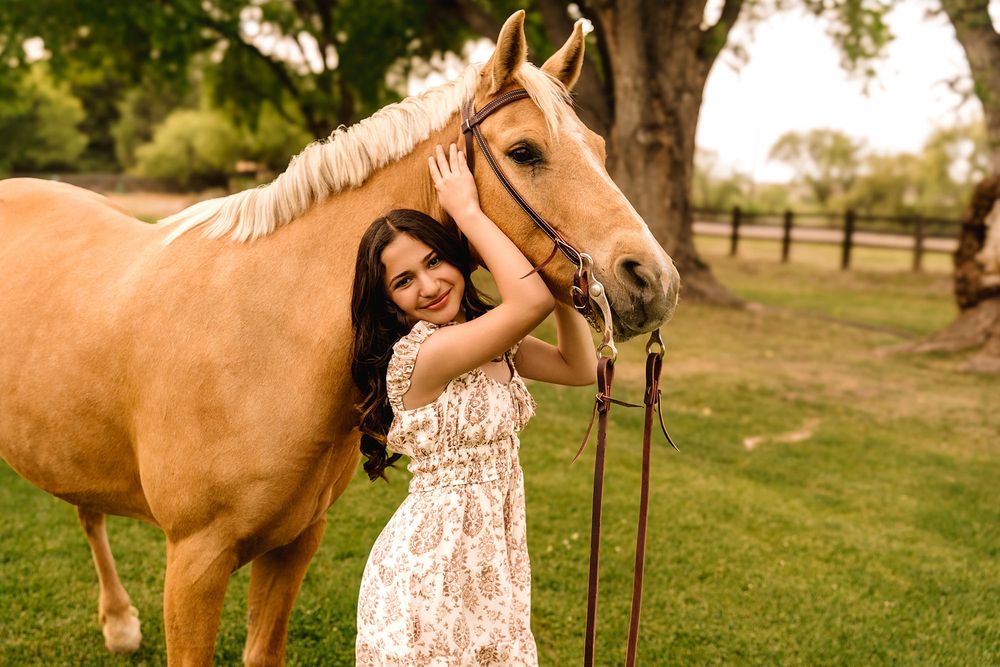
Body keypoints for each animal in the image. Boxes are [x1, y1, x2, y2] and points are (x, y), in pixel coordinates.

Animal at [0, 11, 679, 665]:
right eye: (525, 151)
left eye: (599, 149)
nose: (654, 281)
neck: (268, 335)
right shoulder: (194, 563)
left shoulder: (297, 542)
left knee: (86, 505)